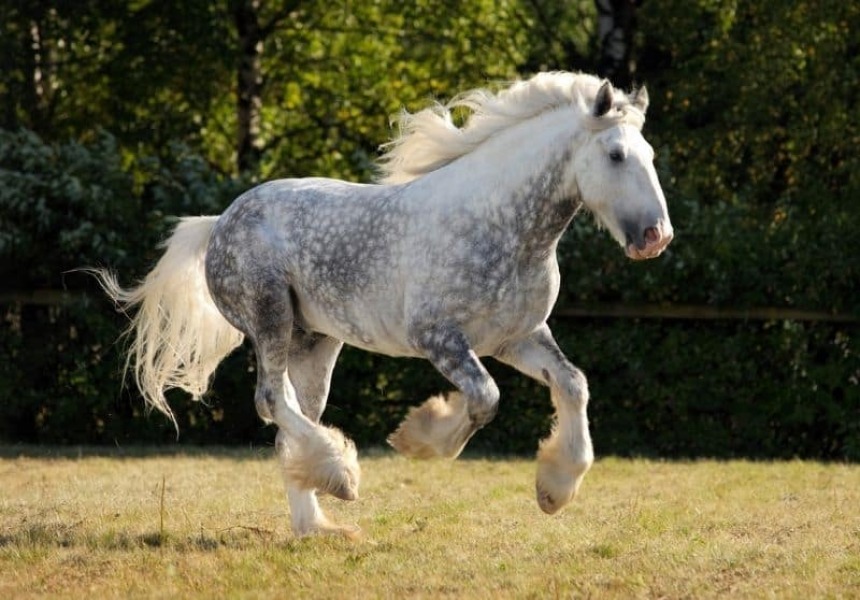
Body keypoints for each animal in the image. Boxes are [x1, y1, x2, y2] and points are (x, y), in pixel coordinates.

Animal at [92, 71, 673, 537]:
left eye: (650, 156)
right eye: (617, 155)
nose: (656, 237)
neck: (501, 225)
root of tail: (220, 222)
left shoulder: (516, 337)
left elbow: (573, 385)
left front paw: (554, 489)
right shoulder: (440, 338)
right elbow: (485, 398)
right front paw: (418, 439)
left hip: (315, 342)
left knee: (291, 420)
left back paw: (317, 526)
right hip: (270, 318)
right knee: (272, 402)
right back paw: (342, 479)